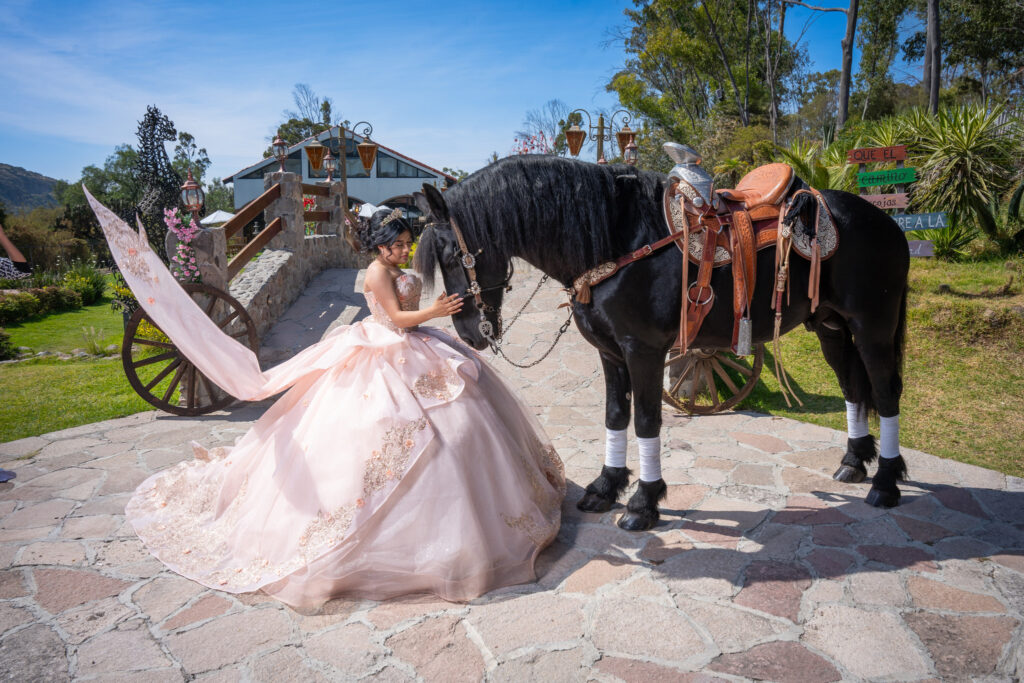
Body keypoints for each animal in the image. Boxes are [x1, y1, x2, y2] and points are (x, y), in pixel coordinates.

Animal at [413, 153, 909, 531]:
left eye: (453, 256)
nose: (470, 334)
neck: (617, 239)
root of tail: (887, 222)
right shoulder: (610, 353)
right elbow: (615, 416)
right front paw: (606, 486)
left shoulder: (644, 351)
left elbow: (647, 421)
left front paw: (643, 502)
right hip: (831, 328)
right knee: (854, 389)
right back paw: (854, 462)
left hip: (872, 328)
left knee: (885, 394)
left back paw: (885, 482)